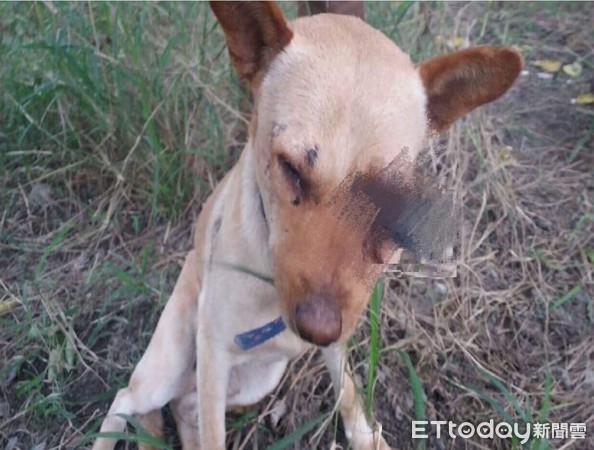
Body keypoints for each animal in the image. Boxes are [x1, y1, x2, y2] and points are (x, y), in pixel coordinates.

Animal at [90, 1, 520, 448]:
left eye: (392, 196)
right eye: (291, 169)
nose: (317, 330)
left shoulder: (338, 334)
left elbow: (347, 389)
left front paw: (365, 435)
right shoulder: (214, 351)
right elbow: (211, 431)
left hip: (256, 379)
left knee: (182, 407)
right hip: (170, 366)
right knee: (128, 399)